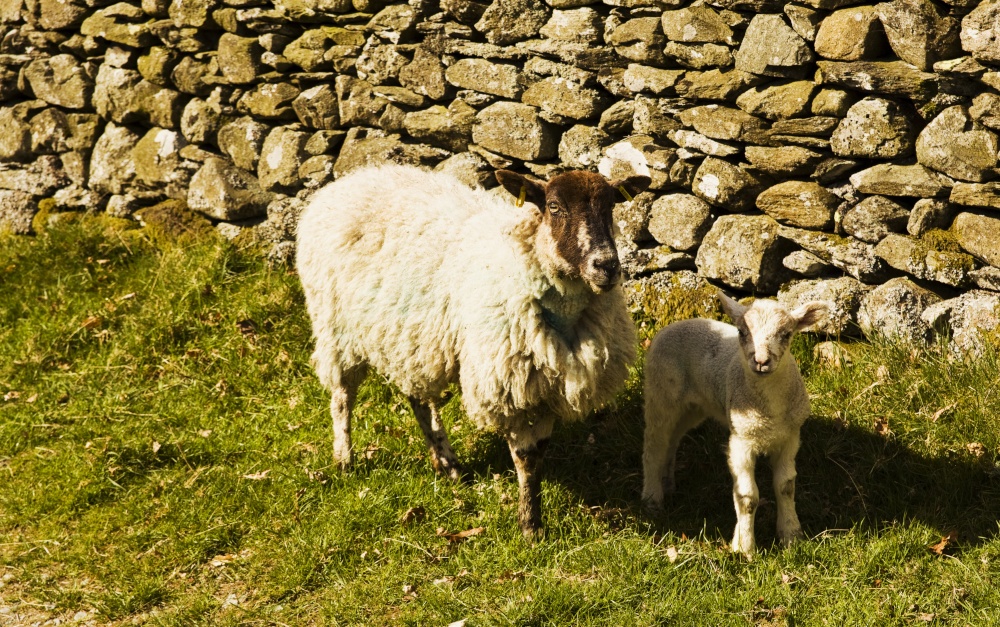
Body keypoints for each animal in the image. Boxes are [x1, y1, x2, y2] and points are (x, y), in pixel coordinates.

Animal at [296, 163, 650, 538]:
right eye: (554, 207)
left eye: (610, 205)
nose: (607, 266)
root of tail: (350, 179)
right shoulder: (509, 385)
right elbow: (526, 458)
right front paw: (529, 527)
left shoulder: (543, 385)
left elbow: (539, 452)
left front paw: (534, 521)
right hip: (336, 328)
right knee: (342, 397)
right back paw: (345, 459)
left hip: (410, 339)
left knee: (418, 398)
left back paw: (447, 463)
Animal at [642, 293, 828, 555]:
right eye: (742, 331)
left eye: (786, 334)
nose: (761, 361)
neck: (769, 410)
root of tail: (674, 324)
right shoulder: (741, 440)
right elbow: (747, 497)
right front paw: (745, 547)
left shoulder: (790, 437)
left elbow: (785, 486)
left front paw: (791, 535)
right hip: (660, 393)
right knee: (654, 447)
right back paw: (652, 498)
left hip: (692, 407)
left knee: (671, 442)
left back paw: (667, 484)